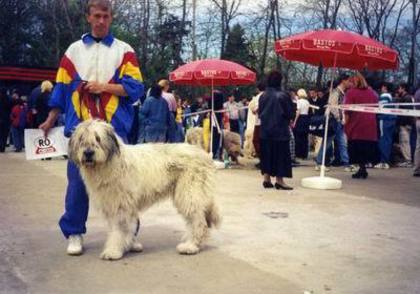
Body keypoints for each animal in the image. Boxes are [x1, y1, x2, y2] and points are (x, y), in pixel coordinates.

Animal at [68, 119, 220, 260]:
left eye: (98, 138)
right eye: (81, 138)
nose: (88, 153)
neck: (110, 164)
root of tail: (196, 149)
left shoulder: (120, 206)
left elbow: (119, 230)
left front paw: (113, 251)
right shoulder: (115, 205)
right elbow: (123, 229)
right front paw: (128, 245)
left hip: (189, 193)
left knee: (198, 221)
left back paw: (191, 246)